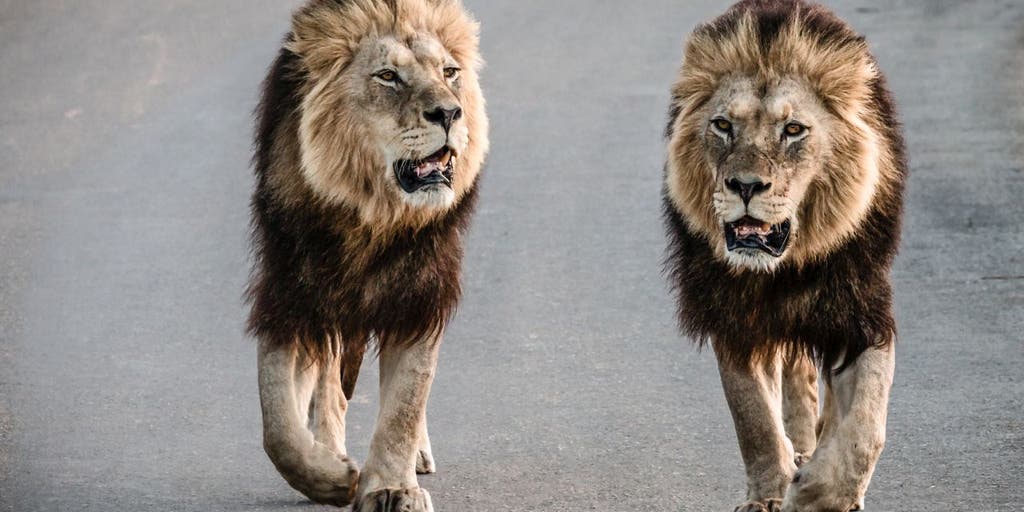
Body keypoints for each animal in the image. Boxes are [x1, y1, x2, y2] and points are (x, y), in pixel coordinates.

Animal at [247, 1, 488, 510]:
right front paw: (331, 478)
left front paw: (393, 487)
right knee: (327, 390)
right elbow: (277, 423)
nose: (449, 113)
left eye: (449, 72)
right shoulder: (291, 292)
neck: (373, 216)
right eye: (388, 76)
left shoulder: (420, 290)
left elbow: (406, 400)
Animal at [662, 1, 906, 511]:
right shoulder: (731, 313)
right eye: (723, 125)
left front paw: (819, 494)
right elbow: (753, 417)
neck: (784, 266)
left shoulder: (861, 311)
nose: (746, 186)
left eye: (793, 130)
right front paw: (769, 493)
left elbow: (865, 428)